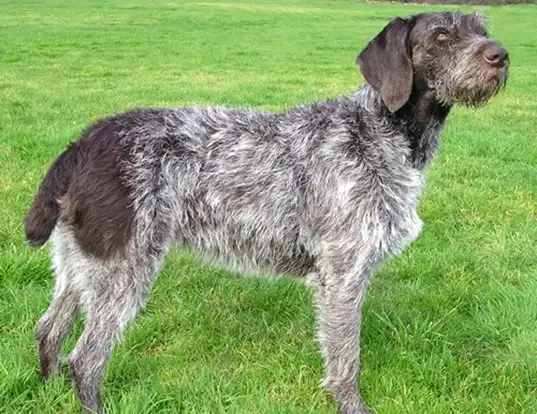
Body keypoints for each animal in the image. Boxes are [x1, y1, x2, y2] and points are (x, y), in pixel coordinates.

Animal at [25, 11, 508, 412]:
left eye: (480, 27)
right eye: (441, 35)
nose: (500, 55)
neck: (379, 129)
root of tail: (86, 141)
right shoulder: (343, 275)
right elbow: (345, 362)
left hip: (81, 261)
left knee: (49, 330)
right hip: (123, 268)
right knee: (85, 359)